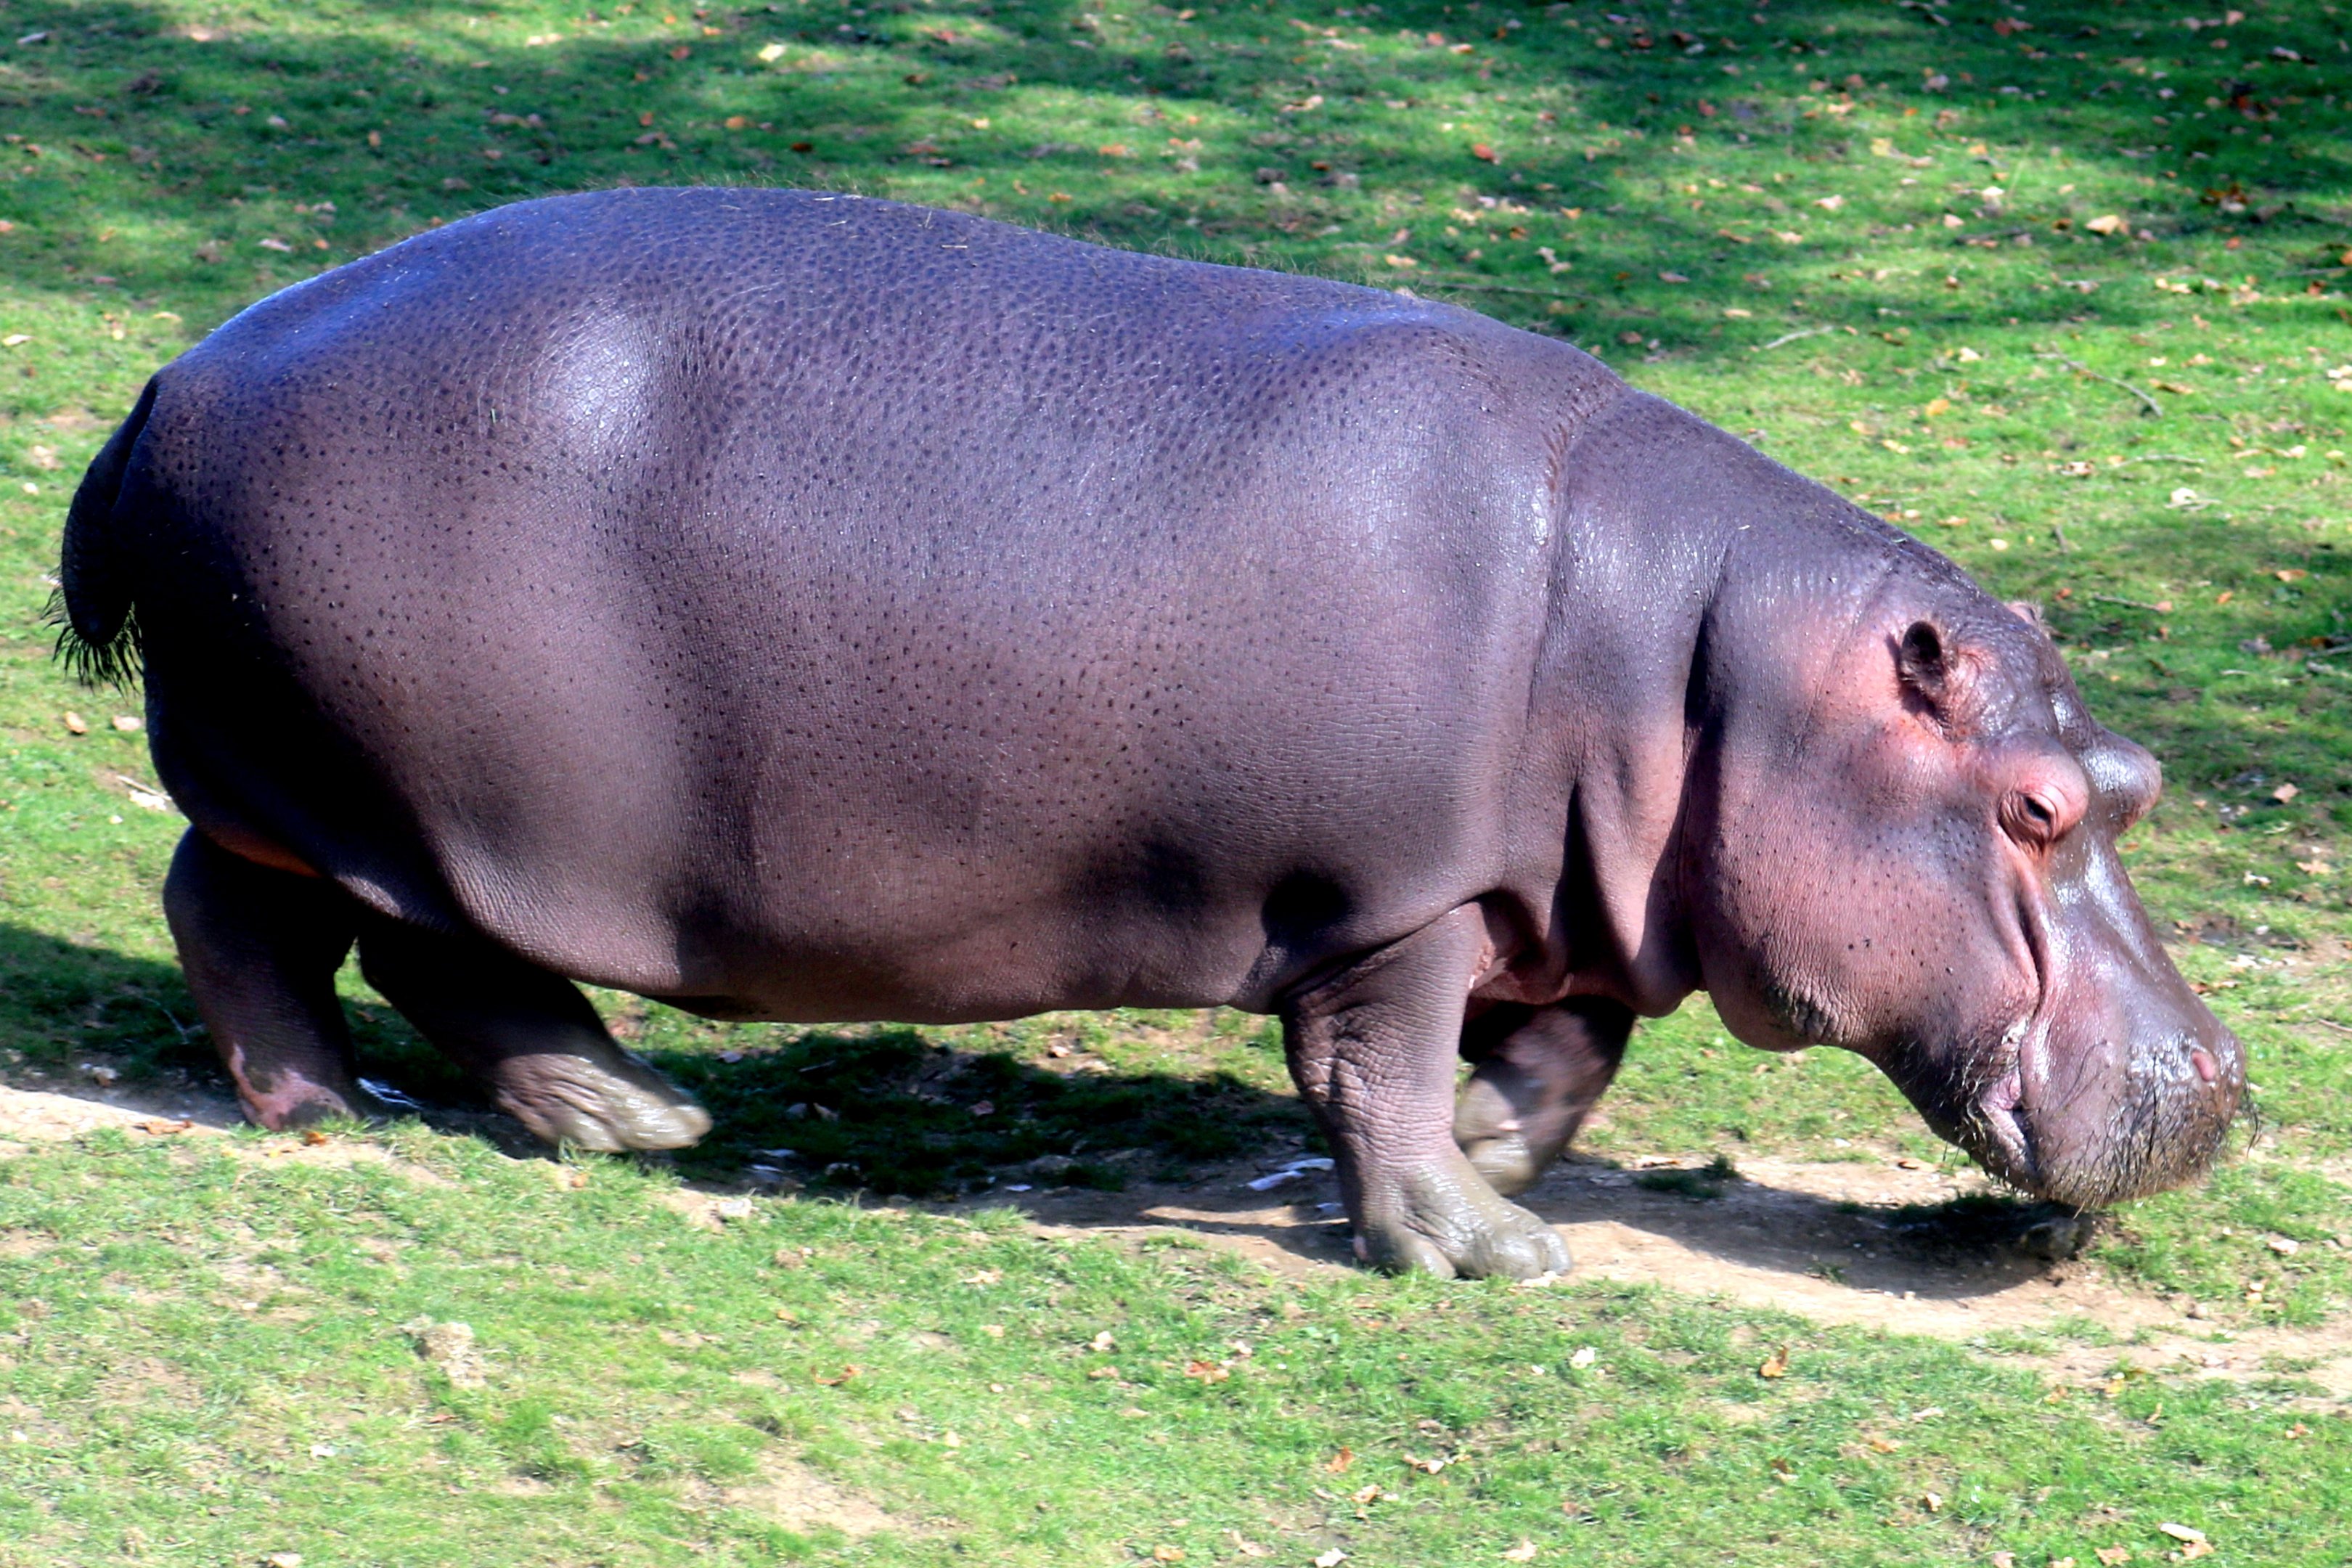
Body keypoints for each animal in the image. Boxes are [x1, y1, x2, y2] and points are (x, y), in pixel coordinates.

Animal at [56, 188, 2242, 1278]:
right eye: (2031, 808)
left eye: (2129, 783)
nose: (2225, 1081)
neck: (1704, 671)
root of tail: (174, 377)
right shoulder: (1393, 889)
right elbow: (1376, 1069)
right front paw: (1477, 1251)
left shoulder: (1552, 890)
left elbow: (1563, 1061)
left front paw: (1492, 1164)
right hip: (422, 799)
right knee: (413, 947)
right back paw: (589, 1120)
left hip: (319, 784)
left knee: (246, 909)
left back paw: (400, 1111)